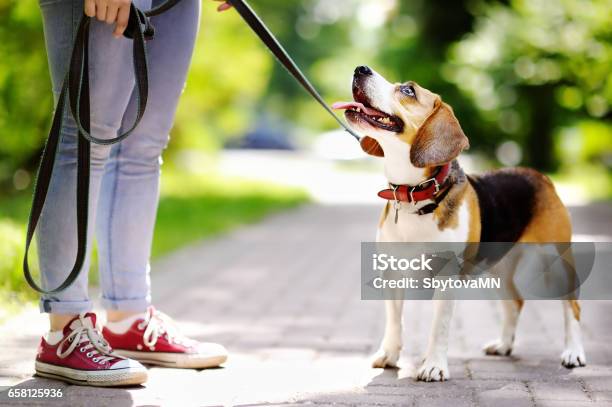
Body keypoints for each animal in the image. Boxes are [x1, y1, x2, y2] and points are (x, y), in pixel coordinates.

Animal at [334, 66, 588, 382]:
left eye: (408, 90)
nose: (361, 69)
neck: (415, 196)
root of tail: (539, 176)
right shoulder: (392, 273)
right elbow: (394, 321)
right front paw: (389, 355)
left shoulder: (446, 277)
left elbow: (439, 326)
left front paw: (433, 365)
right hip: (497, 266)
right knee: (515, 303)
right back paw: (504, 345)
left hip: (556, 259)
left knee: (572, 305)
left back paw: (573, 353)